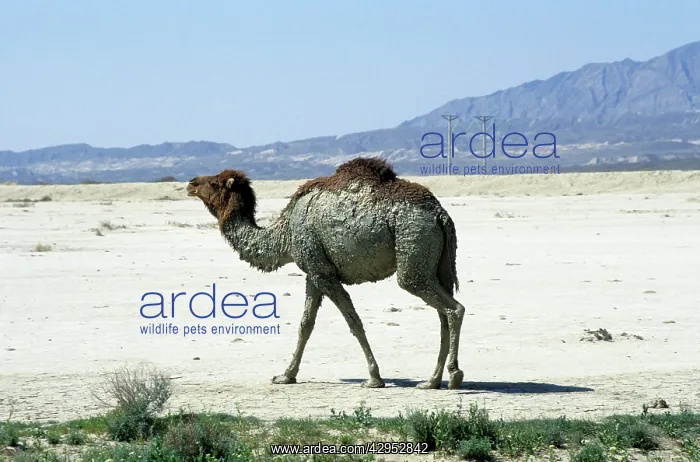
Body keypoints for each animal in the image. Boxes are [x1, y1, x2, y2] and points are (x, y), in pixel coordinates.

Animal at [186, 157, 466, 389]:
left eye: (214, 182)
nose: (191, 183)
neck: (284, 233)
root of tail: (440, 215)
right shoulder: (313, 272)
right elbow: (305, 325)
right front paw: (285, 375)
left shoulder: (323, 273)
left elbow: (353, 321)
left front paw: (373, 378)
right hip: (436, 264)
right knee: (443, 312)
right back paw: (432, 380)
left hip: (413, 245)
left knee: (452, 308)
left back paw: (453, 375)